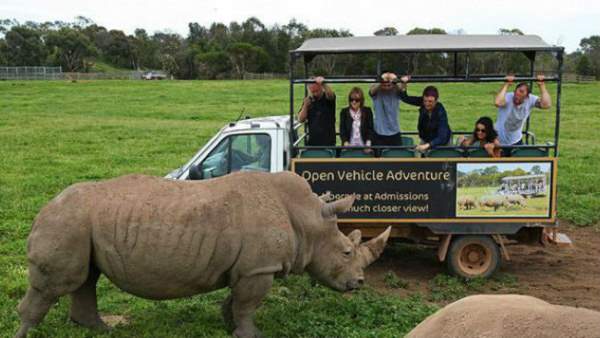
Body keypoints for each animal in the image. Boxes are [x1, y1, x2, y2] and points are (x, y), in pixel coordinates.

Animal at [15, 173, 390, 336]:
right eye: (346, 252)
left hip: (80, 224)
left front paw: (229, 326)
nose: (359, 283)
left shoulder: (248, 268)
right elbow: (248, 304)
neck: (308, 220)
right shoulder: (259, 268)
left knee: (86, 278)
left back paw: (99, 329)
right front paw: (251, 335)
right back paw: (27, 332)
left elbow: (236, 301)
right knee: (56, 284)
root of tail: (44, 206)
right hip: (67, 220)